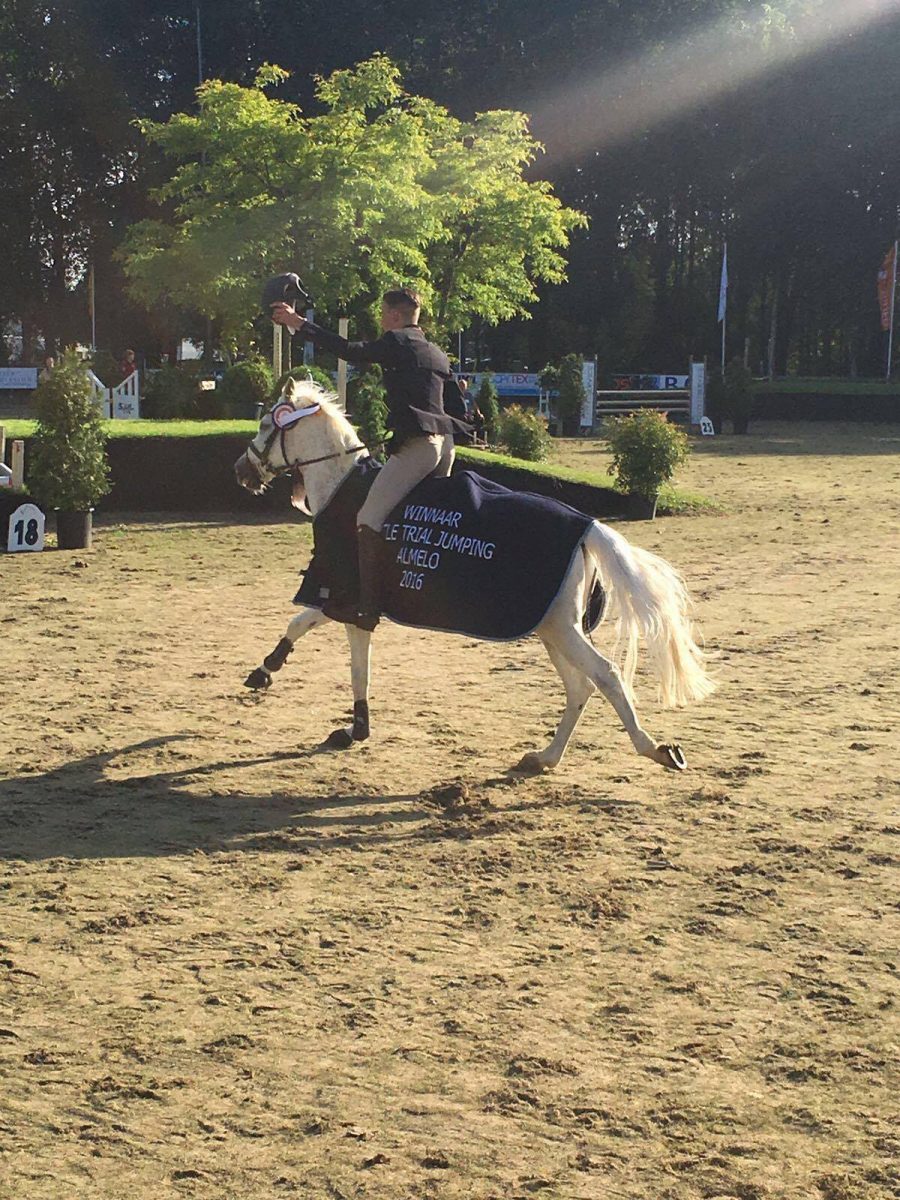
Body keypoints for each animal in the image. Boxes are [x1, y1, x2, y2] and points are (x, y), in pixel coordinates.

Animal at [236, 379, 715, 772]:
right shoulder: (350, 605)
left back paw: (656, 750)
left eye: (263, 423)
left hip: (560, 628)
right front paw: (346, 722)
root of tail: (587, 524)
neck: (343, 487)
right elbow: (344, 655)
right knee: (580, 687)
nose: (242, 471)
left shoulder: (344, 594)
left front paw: (269, 673)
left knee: (606, 676)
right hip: (553, 627)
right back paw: (544, 758)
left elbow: (315, 631)